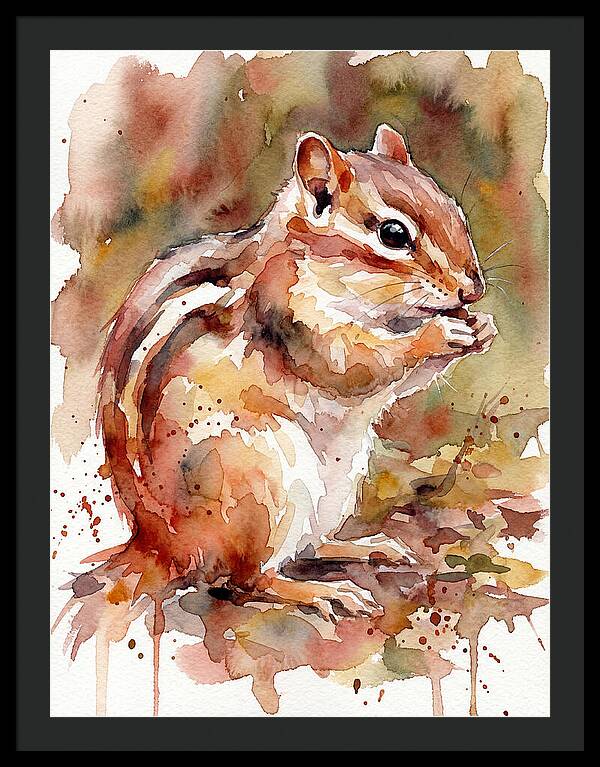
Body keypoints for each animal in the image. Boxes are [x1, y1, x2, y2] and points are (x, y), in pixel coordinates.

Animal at [73, 123, 496, 629]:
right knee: (245, 580)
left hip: (336, 484)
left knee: (308, 547)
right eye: (393, 235)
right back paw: (321, 592)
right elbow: (356, 364)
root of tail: (163, 547)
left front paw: (481, 328)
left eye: (455, 209)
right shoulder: (293, 317)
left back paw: (365, 547)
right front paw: (438, 334)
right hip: (259, 480)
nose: (473, 289)